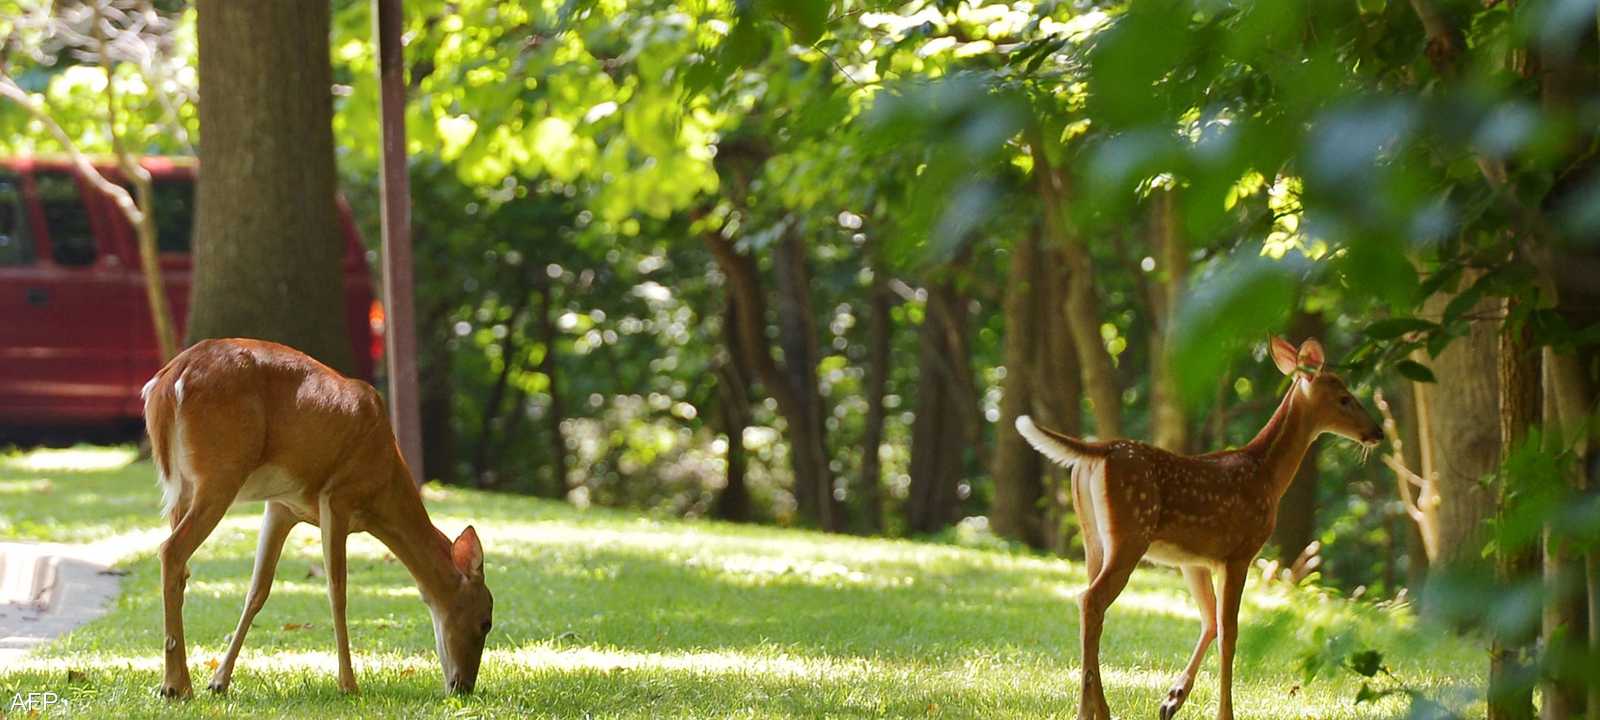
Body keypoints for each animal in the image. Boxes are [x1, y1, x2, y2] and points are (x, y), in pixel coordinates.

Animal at [144, 337, 492, 697]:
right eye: (485, 623)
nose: (464, 686)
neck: (382, 486)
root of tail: (170, 380)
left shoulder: (282, 506)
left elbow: (258, 590)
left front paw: (219, 681)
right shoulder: (337, 496)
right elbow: (337, 590)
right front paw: (349, 684)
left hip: (180, 488)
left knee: (181, 566)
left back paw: (175, 681)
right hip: (220, 472)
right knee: (171, 550)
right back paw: (176, 686)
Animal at [1017, 337, 1382, 720]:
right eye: (1345, 397)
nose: (1377, 432)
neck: (1266, 476)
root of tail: (1098, 450)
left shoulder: (1194, 559)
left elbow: (1209, 621)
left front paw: (1172, 699)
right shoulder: (1240, 553)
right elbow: (1229, 632)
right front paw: (1224, 713)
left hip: (1093, 538)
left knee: (1089, 601)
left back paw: (1089, 708)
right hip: (1132, 532)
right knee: (1092, 600)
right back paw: (1099, 709)